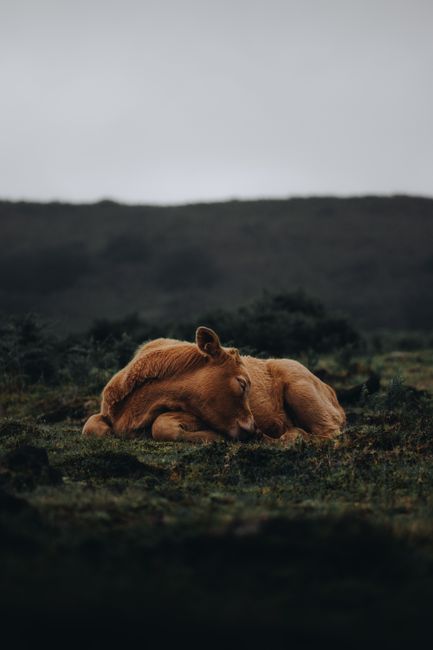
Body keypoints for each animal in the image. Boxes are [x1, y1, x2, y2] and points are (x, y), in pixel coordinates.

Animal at [82, 327, 346, 444]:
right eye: (242, 383)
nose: (253, 428)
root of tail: (331, 391)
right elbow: (91, 427)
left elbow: (162, 425)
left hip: (300, 386)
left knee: (329, 433)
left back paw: (291, 435)